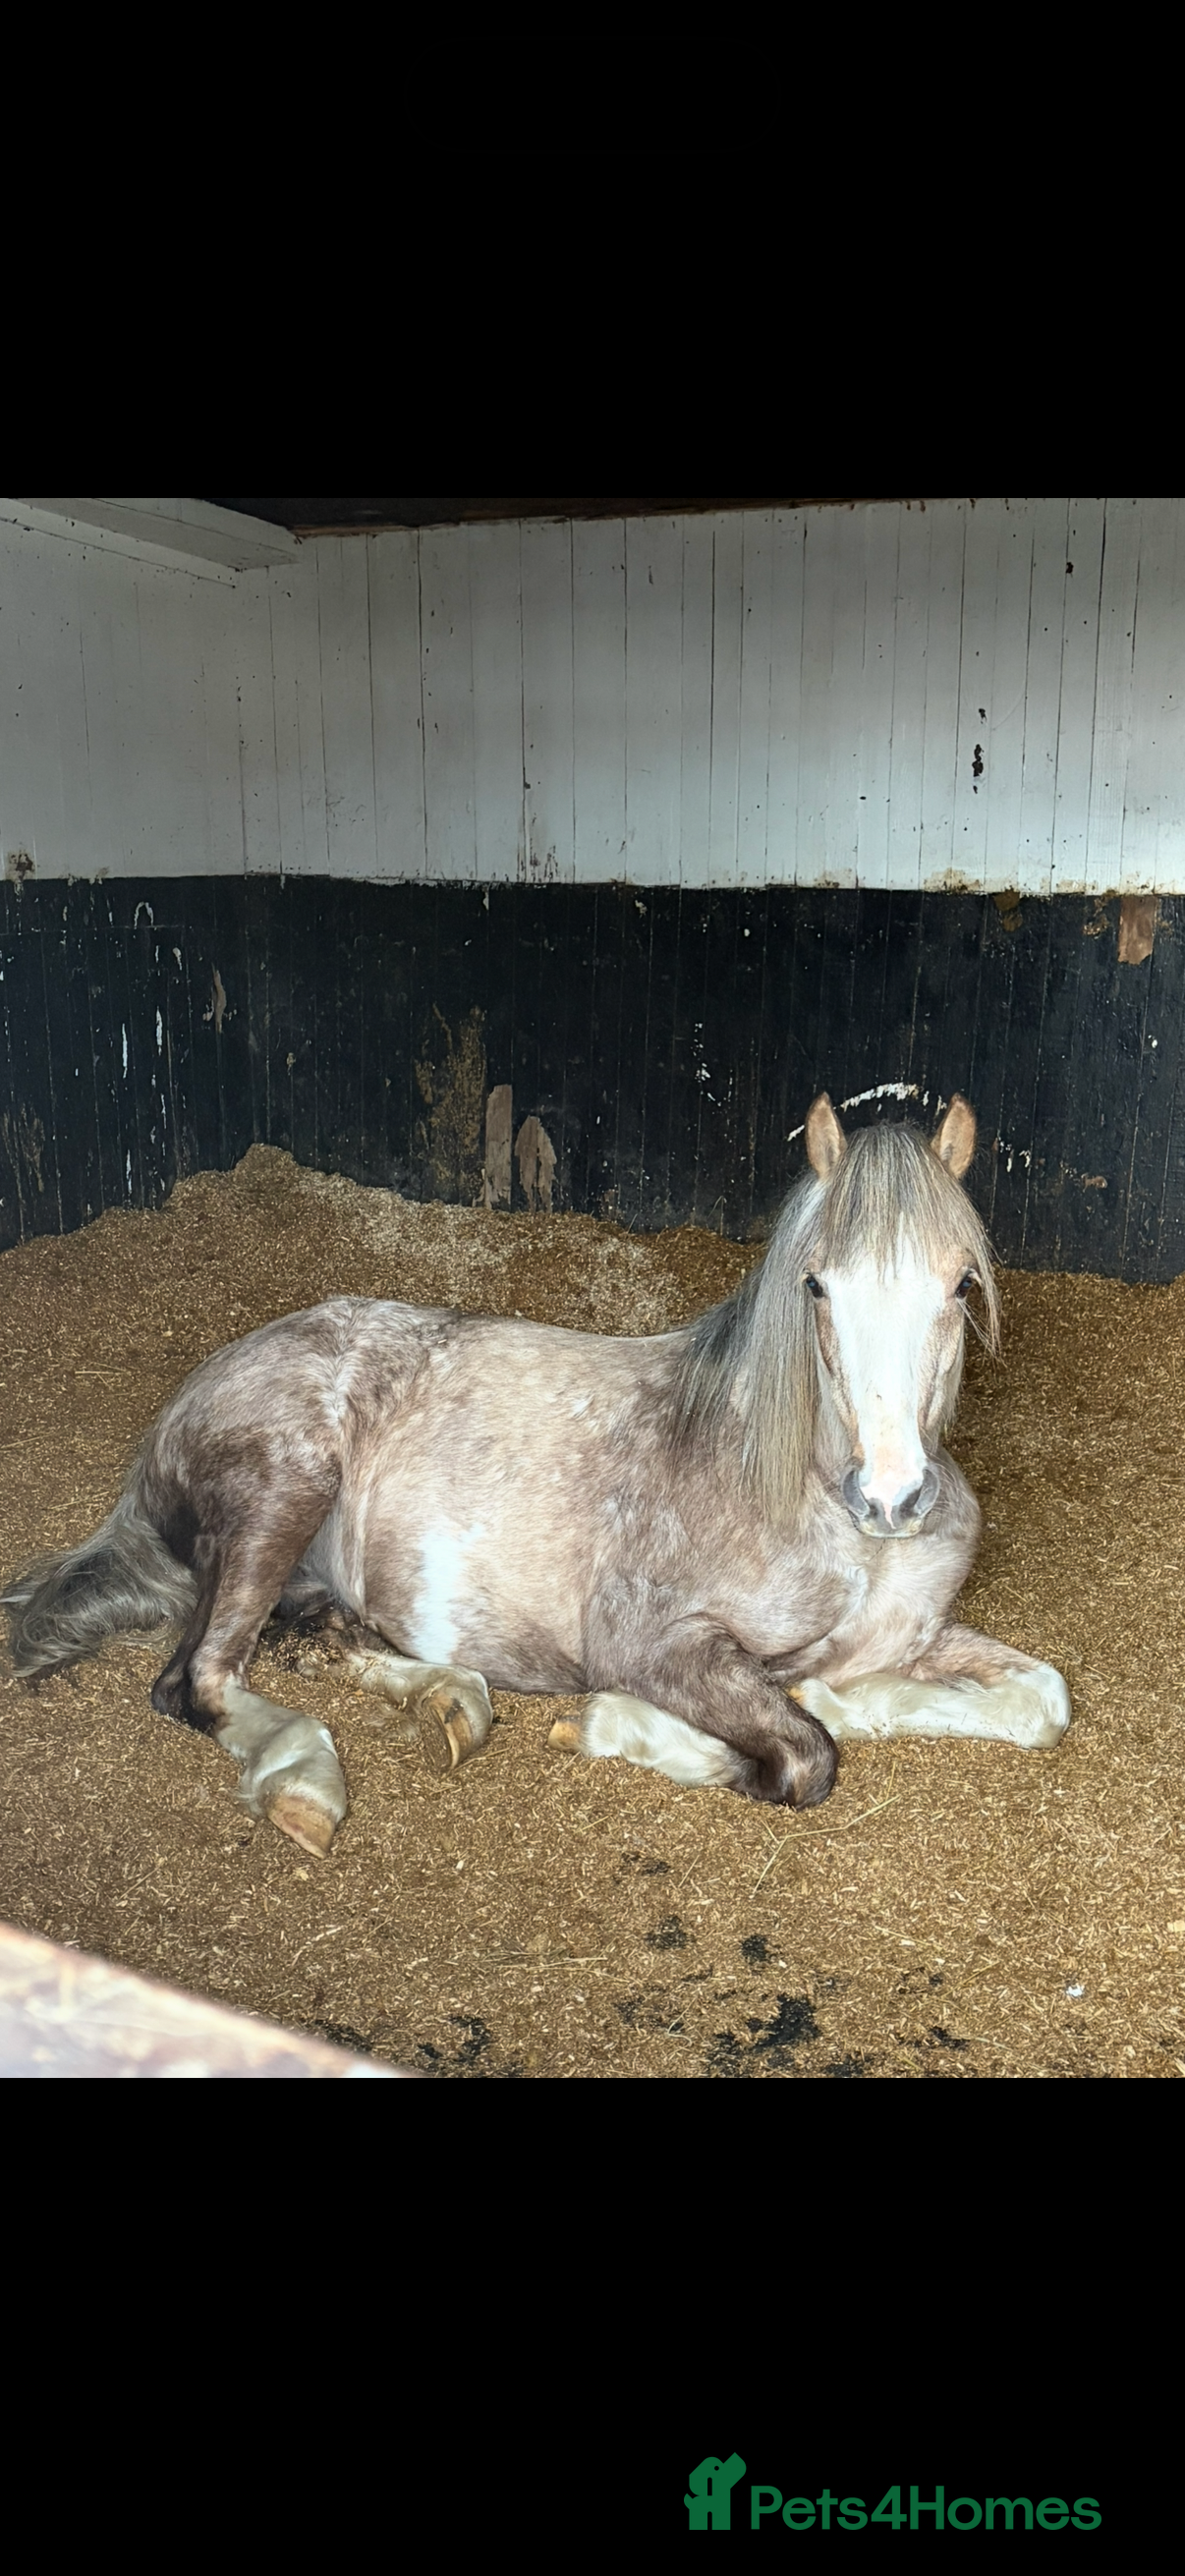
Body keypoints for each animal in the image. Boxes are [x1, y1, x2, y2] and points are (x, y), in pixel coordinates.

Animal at [2, 1092, 1070, 1858]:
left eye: (961, 1284)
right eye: (816, 1286)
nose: (890, 1497)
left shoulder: (915, 1637)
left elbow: (1039, 1700)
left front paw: (843, 1697)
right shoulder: (654, 1640)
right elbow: (804, 1757)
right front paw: (619, 1728)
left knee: (323, 1639)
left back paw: (447, 1702)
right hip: (281, 1495)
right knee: (197, 1680)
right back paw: (307, 1779)